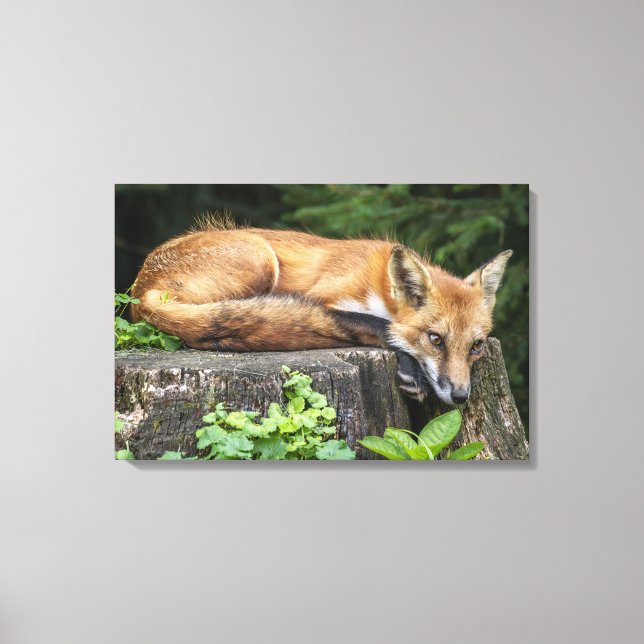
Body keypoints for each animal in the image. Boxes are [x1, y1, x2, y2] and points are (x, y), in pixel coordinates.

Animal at [130, 218, 512, 405]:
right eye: (435, 339)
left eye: (476, 347)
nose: (460, 397)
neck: (379, 288)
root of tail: (140, 288)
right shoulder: (325, 298)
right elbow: (383, 327)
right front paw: (410, 369)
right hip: (260, 259)